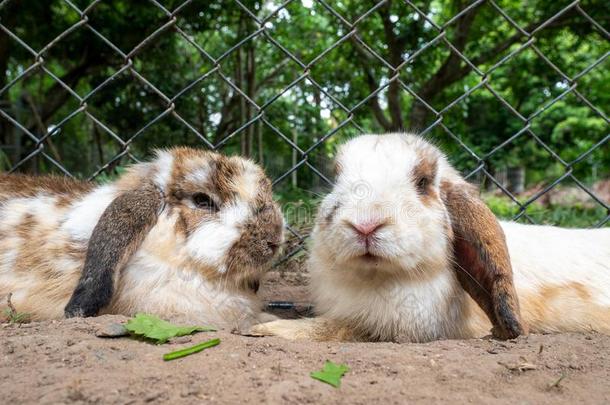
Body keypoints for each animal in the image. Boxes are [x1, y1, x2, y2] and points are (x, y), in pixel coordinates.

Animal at [248, 133, 608, 340]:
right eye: (335, 178)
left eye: (422, 183)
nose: (365, 225)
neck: (373, 279)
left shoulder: (391, 328)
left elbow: (333, 328)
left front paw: (266, 328)